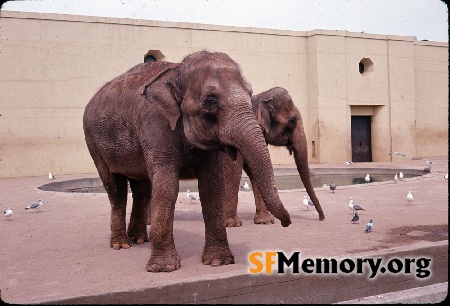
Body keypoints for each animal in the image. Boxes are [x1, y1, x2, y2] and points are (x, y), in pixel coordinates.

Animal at [82, 50, 290, 272]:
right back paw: (121, 245)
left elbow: (213, 188)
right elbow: (167, 188)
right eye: (210, 101)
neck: (176, 71)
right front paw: (164, 268)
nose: (286, 223)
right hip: (93, 142)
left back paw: (139, 240)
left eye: (250, 94)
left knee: (142, 187)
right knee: (115, 188)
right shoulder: (156, 126)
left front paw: (219, 262)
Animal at [224, 86, 324, 227]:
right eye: (292, 122)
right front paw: (233, 224)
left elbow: (256, 169)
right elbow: (234, 168)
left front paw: (264, 221)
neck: (260, 98)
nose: (321, 218)